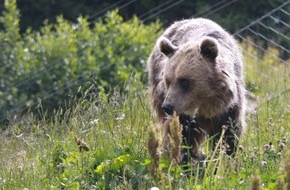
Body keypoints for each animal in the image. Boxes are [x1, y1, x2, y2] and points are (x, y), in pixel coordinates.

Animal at [147, 17, 245, 160]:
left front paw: (225, 154)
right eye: (168, 81)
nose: (168, 107)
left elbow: (228, 131)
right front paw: (184, 155)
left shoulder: (230, 107)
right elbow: (181, 131)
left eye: (184, 81)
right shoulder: (182, 111)